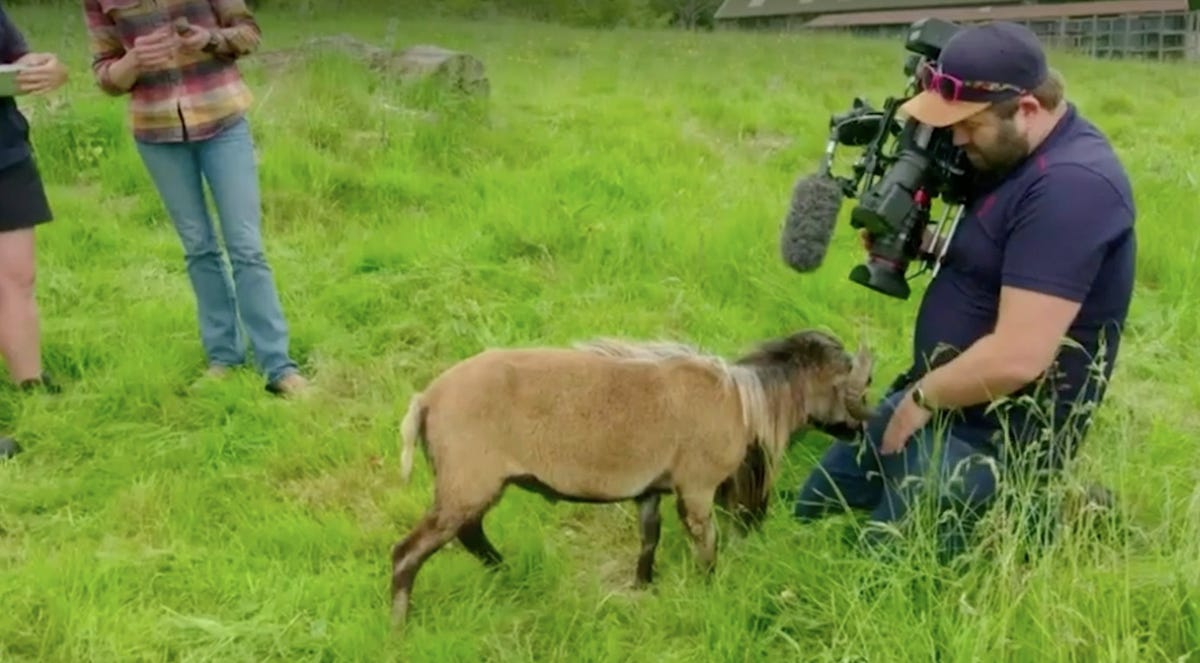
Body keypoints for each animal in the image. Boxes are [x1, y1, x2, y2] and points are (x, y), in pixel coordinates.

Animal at [391, 329, 873, 624]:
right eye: (851, 382)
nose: (860, 428)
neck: (743, 400)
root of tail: (425, 400)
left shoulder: (650, 490)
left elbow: (649, 538)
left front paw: (643, 585)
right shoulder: (697, 488)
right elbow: (706, 542)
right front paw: (708, 587)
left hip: (468, 486)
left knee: (468, 533)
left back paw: (506, 572)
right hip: (468, 483)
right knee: (408, 552)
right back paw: (400, 625)